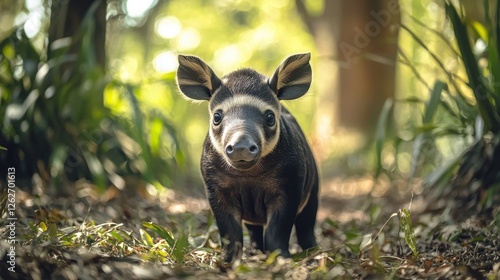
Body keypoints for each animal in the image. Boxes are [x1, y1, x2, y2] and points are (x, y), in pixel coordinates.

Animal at [177, 53, 316, 264]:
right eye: (217, 116)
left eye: (270, 117)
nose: (241, 147)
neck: (249, 177)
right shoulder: (215, 188)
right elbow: (229, 231)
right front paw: (227, 261)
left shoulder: (291, 185)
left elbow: (278, 230)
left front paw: (281, 259)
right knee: (254, 230)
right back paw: (255, 252)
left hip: (315, 189)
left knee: (307, 225)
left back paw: (314, 251)